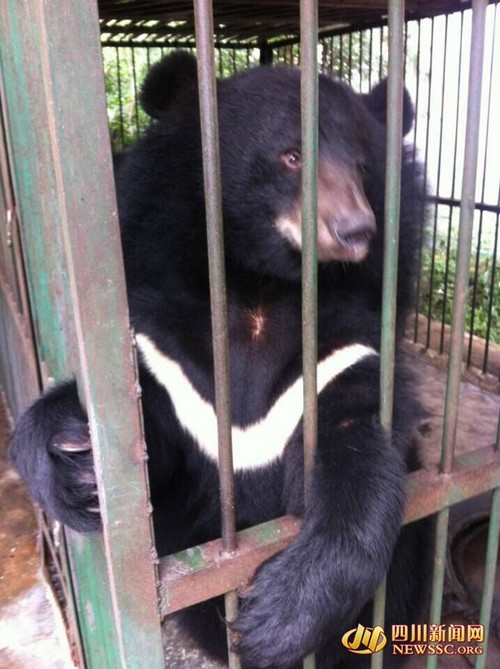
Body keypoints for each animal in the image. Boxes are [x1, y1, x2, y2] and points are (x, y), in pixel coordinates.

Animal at [9, 52, 430, 668]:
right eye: (291, 156)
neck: (260, 284)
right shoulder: (166, 346)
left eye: (361, 166)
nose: (356, 230)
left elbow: (360, 457)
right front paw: (74, 463)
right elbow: (147, 448)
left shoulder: (346, 346)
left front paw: (272, 618)